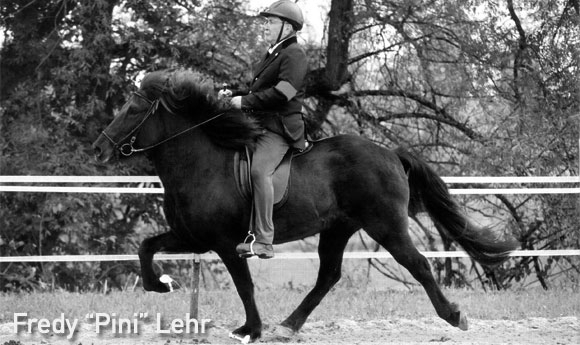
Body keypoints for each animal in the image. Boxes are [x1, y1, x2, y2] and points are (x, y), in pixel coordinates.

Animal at [93, 70, 520, 342]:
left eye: (133, 110)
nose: (99, 149)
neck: (203, 163)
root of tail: (389, 153)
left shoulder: (225, 243)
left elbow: (244, 285)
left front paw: (251, 329)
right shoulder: (193, 237)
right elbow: (145, 247)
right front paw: (162, 284)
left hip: (385, 225)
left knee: (416, 265)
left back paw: (454, 316)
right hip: (337, 229)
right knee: (328, 276)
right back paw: (288, 325)